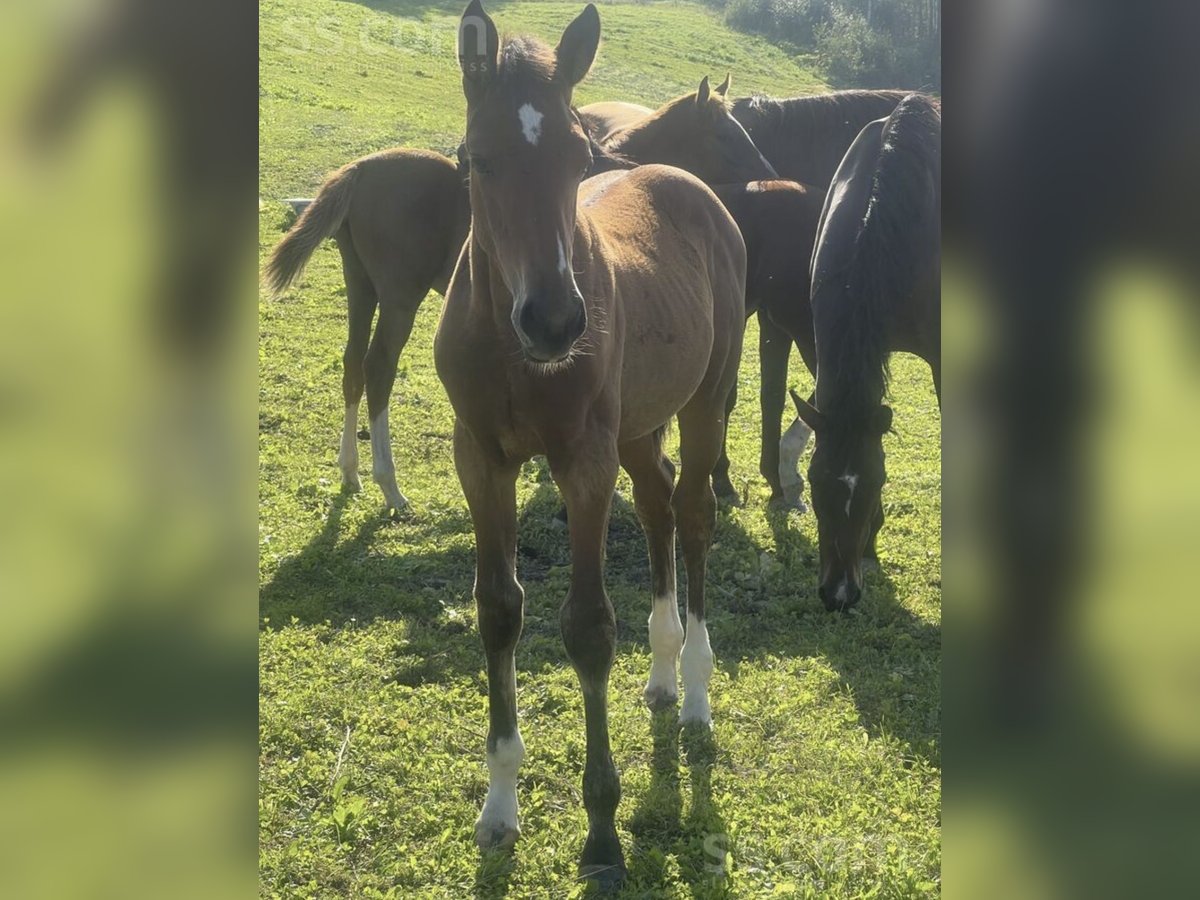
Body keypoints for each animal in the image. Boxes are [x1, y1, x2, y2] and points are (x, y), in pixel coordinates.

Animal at [261, 78, 768, 513]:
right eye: (725, 132)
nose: (768, 173)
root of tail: (359, 170)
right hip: (400, 297)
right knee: (378, 367)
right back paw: (390, 485)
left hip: (361, 287)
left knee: (351, 363)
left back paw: (350, 472)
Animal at [436, 1, 744, 888]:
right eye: (478, 158)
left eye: (578, 158)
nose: (554, 320)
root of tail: (688, 182)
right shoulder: (481, 460)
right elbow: (499, 608)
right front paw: (499, 807)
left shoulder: (582, 463)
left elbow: (586, 628)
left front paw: (602, 833)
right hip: (638, 425)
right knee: (659, 501)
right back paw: (665, 674)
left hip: (705, 399)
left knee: (695, 511)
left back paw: (698, 691)